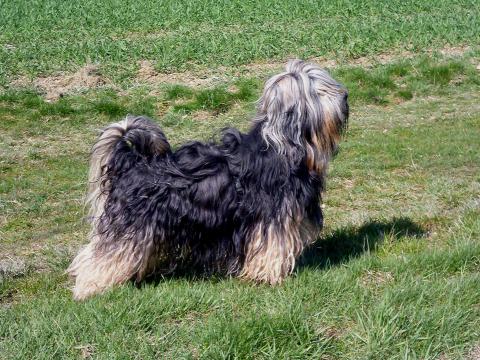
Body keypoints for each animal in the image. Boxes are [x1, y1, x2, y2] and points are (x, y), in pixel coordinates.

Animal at [67, 59, 348, 300]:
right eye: (319, 90)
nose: (345, 96)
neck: (284, 147)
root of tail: (132, 162)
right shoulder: (271, 217)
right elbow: (272, 247)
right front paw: (269, 277)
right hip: (131, 225)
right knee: (102, 255)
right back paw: (88, 288)